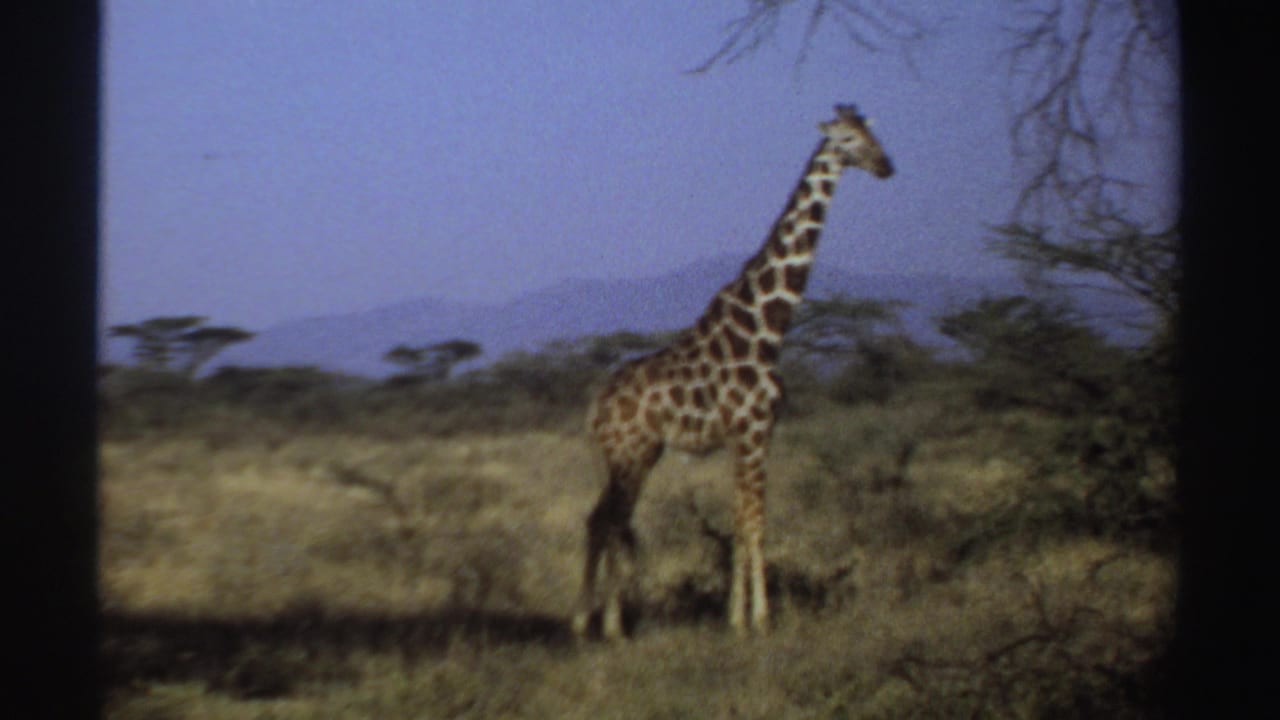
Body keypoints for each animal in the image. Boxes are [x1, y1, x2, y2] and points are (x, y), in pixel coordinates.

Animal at [572, 104, 894, 639]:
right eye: (848, 139)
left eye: (873, 133)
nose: (886, 166)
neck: (767, 329)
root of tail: (594, 407)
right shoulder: (754, 430)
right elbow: (755, 520)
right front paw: (760, 619)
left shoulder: (745, 437)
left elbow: (740, 519)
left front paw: (735, 616)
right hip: (629, 454)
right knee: (611, 521)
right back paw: (607, 625)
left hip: (631, 455)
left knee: (603, 519)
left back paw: (592, 623)